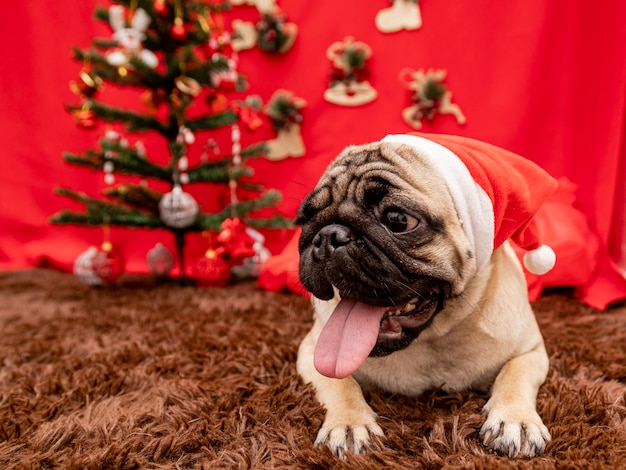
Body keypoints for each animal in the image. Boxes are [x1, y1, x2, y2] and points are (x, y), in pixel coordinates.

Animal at [294, 132, 552, 458]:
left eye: (398, 220)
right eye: (306, 219)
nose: (329, 235)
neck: (432, 338)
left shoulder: (531, 351)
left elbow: (514, 373)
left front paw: (514, 419)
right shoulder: (312, 352)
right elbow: (339, 383)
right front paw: (349, 423)